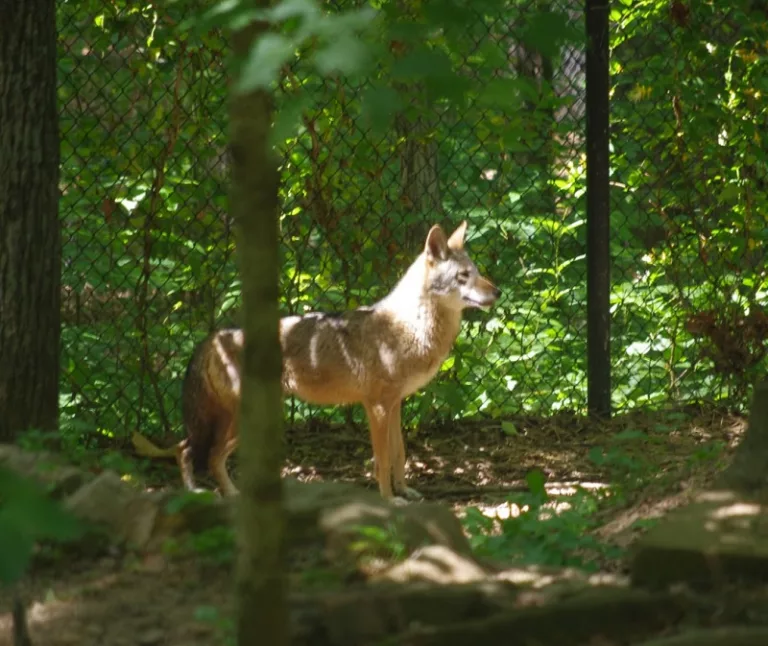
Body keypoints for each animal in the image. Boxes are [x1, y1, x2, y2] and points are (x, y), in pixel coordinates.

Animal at [132, 221, 500, 500]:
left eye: (477, 272)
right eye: (463, 276)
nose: (497, 292)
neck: (409, 326)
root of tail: (214, 337)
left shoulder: (394, 404)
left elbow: (399, 454)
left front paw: (406, 491)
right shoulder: (377, 407)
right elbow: (381, 461)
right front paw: (388, 500)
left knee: (190, 450)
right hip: (241, 420)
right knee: (197, 453)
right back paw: (209, 496)